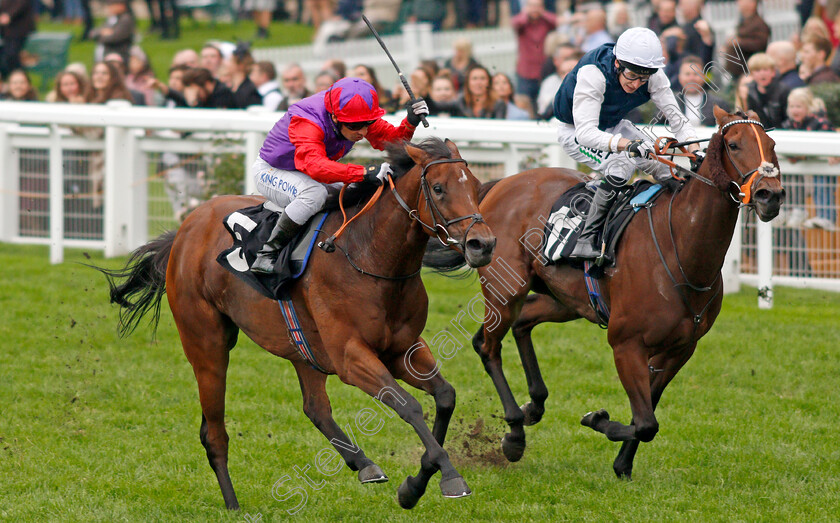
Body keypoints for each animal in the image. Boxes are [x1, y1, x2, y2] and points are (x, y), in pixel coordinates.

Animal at [98, 137, 496, 510]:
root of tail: (184, 228)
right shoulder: (351, 356)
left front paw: (414, 486)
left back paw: (364, 464)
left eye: (476, 185)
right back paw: (232, 503)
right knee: (214, 431)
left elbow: (445, 396)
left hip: (303, 347)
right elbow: (409, 406)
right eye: (439, 188)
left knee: (314, 407)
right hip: (207, 344)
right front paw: (450, 478)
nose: (483, 243)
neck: (370, 255)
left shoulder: (403, 348)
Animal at [426, 108, 788, 482]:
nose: (770, 195)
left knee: (522, 323)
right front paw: (596, 419)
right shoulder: (626, 344)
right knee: (487, 345)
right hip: (505, 288)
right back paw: (514, 433)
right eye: (734, 145)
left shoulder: (679, 350)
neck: (682, 250)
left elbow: (647, 414)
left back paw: (534, 405)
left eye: (772, 144)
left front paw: (622, 465)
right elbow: (645, 423)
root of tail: (496, 186)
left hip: (565, 300)